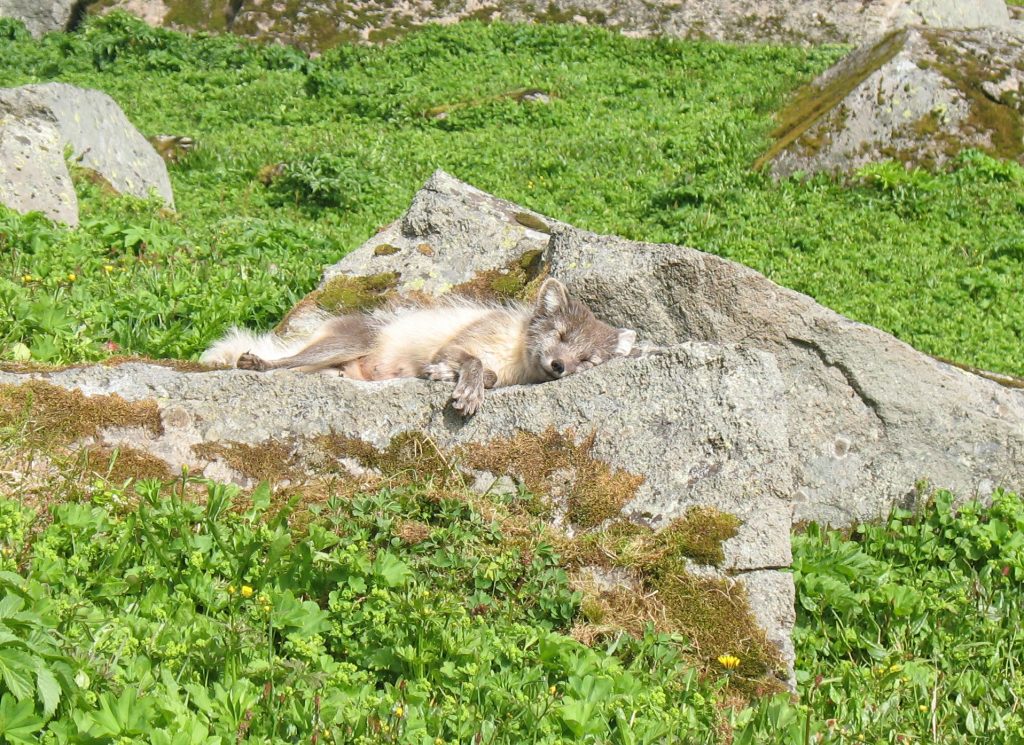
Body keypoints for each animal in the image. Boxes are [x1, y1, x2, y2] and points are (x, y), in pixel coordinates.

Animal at [202, 278, 634, 415]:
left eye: (587, 360)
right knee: (285, 362)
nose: (560, 366)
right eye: (560, 336)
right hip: (347, 342)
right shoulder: (458, 343)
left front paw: (456, 379)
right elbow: (475, 363)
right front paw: (464, 385)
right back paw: (256, 362)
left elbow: (487, 374)